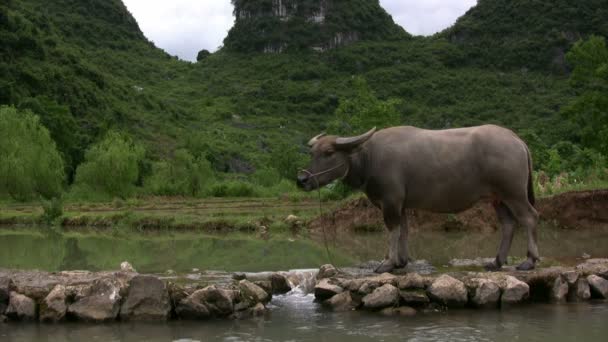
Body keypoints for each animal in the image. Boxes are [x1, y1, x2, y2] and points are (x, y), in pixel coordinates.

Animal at [296, 125, 540, 272]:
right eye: (312, 153)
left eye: (328, 153)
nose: (302, 179)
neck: (370, 157)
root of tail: (517, 140)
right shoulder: (401, 204)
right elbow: (404, 230)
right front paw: (402, 261)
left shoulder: (390, 201)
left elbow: (393, 230)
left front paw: (388, 263)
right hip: (498, 198)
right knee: (508, 224)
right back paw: (496, 261)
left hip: (514, 194)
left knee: (529, 218)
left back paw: (529, 260)